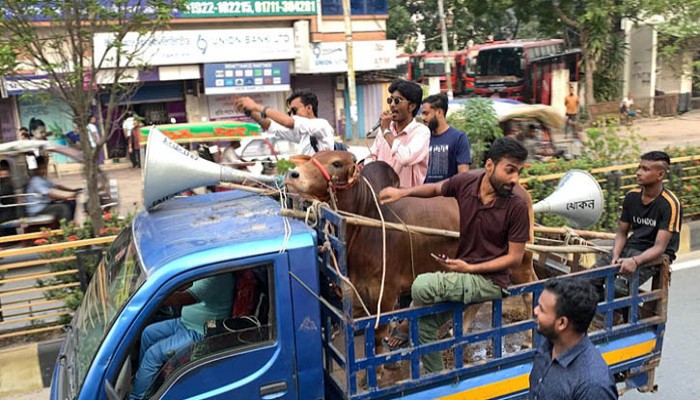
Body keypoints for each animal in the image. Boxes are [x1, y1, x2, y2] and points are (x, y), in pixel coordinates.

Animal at [284, 151, 536, 360]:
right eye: (314, 157)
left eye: (336, 163)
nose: (292, 174)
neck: (366, 219)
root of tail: (519, 190)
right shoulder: (359, 289)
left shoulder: (386, 291)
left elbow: (378, 334)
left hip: (520, 261)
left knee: (530, 291)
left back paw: (529, 339)